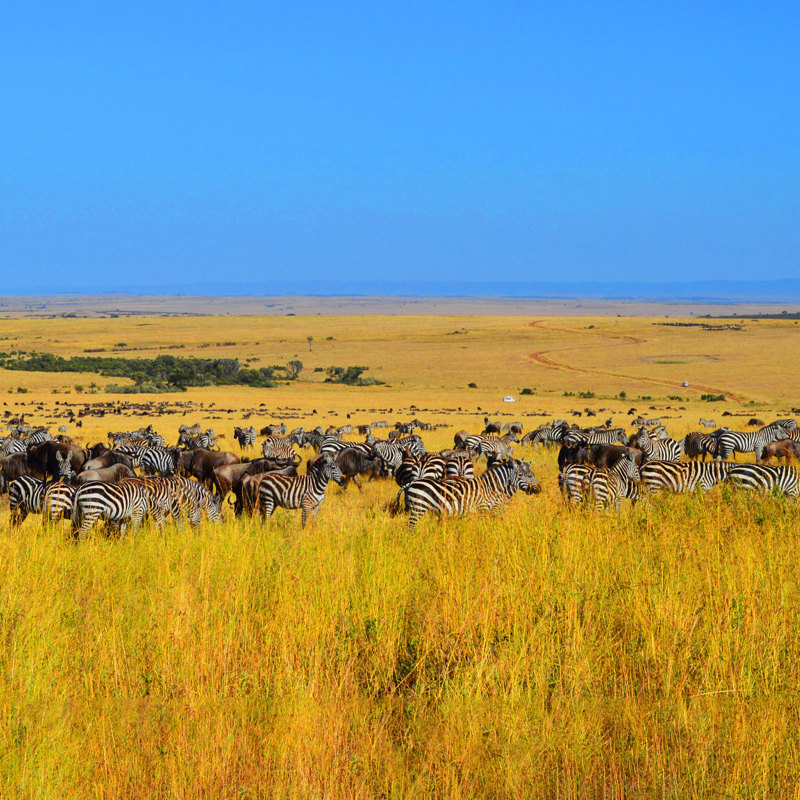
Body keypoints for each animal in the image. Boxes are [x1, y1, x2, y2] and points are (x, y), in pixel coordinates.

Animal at [399, 458, 539, 531]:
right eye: (526, 475)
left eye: (531, 475)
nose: (538, 490)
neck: (491, 488)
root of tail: (413, 482)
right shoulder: (484, 509)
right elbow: (485, 526)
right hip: (418, 508)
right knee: (410, 526)